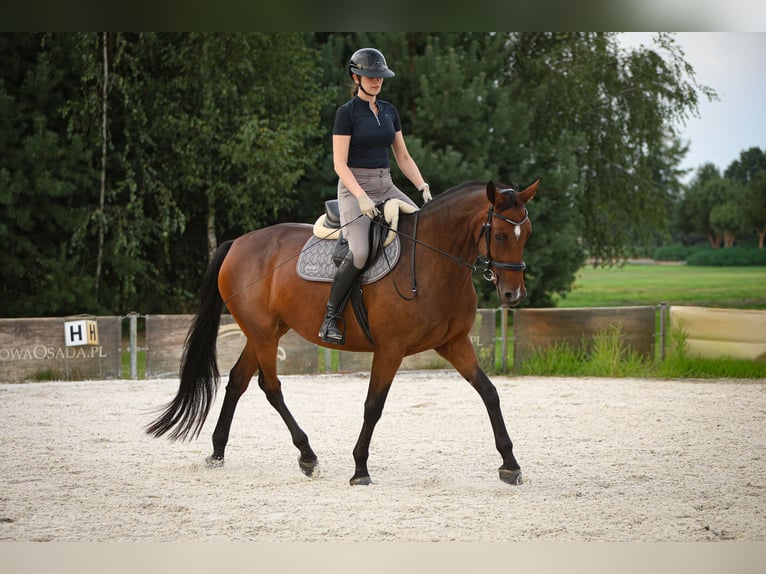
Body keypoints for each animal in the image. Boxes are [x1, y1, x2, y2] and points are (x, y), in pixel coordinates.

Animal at [146, 179, 539, 485]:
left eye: (527, 235)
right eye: (499, 235)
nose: (514, 295)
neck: (432, 260)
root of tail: (238, 243)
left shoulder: (453, 343)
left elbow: (489, 393)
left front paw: (510, 464)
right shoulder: (390, 349)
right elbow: (373, 406)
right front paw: (360, 468)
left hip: (265, 332)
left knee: (238, 381)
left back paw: (217, 452)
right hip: (263, 333)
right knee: (269, 387)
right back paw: (306, 455)